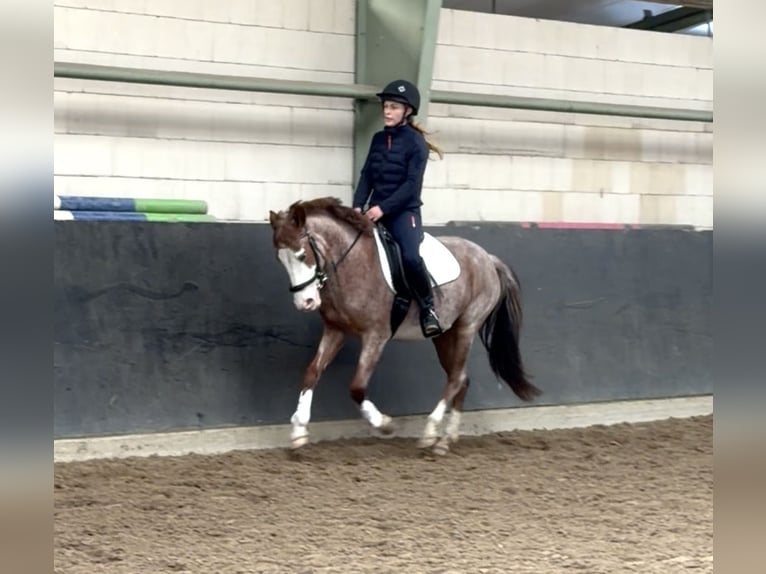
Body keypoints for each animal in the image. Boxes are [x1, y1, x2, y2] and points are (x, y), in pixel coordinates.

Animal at [268, 197, 541, 454]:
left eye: (302, 255)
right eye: (280, 259)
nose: (305, 303)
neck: (352, 263)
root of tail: (488, 258)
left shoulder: (376, 336)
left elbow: (357, 387)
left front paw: (384, 424)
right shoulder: (336, 330)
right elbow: (312, 372)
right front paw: (298, 431)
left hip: (467, 327)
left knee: (456, 378)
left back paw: (431, 431)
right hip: (444, 335)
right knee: (461, 378)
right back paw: (446, 440)